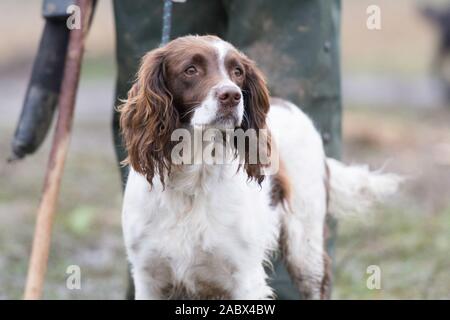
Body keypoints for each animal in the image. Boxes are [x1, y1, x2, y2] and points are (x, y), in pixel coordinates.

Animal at [119, 35, 400, 300]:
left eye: (237, 72)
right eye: (190, 69)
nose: (232, 96)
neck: (193, 177)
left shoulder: (245, 276)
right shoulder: (148, 276)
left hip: (305, 249)